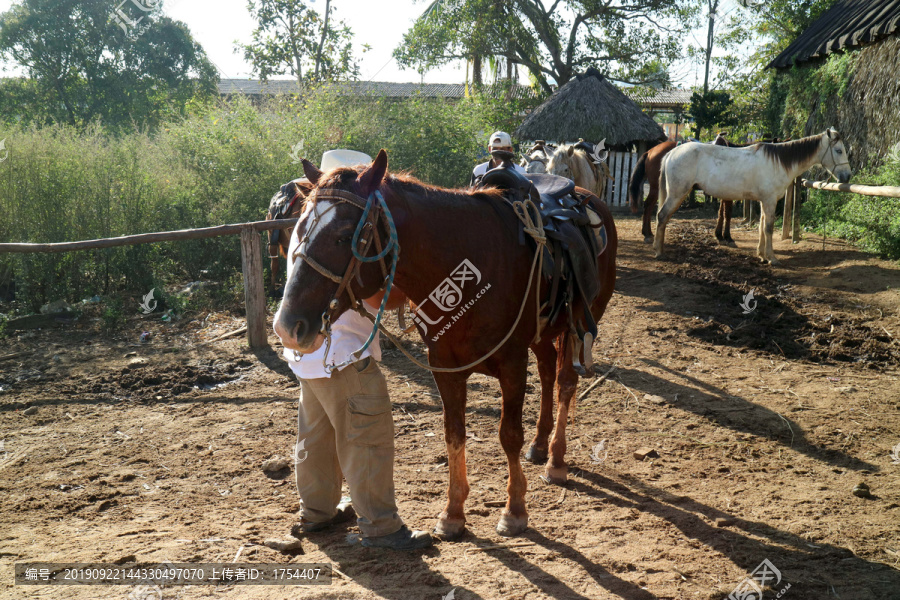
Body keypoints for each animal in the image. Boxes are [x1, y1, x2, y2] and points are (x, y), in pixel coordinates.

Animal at [272, 149, 620, 540]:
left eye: (345, 235)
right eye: (300, 228)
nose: (287, 326)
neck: (467, 267)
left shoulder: (512, 363)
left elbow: (509, 434)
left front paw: (514, 510)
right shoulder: (444, 367)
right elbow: (454, 434)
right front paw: (453, 513)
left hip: (579, 322)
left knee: (565, 383)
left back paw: (557, 459)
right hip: (544, 334)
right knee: (547, 373)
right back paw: (540, 444)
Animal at [652, 129, 852, 262]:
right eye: (839, 150)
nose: (848, 176)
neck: (778, 162)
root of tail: (672, 153)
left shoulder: (765, 201)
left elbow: (762, 226)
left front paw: (762, 255)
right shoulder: (770, 201)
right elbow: (768, 228)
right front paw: (771, 258)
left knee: (663, 218)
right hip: (677, 194)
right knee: (662, 216)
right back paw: (658, 251)